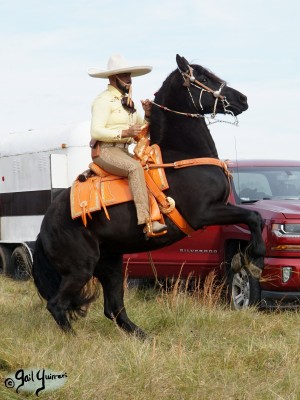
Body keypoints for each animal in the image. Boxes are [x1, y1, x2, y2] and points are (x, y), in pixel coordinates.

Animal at [31, 54, 264, 338]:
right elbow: (253, 216)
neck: (181, 157)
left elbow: (254, 217)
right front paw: (254, 259)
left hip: (111, 264)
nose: (242, 98)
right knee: (58, 304)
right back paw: (76, 338)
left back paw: (142, 336)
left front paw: (247, 259)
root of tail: (44, 226)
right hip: (81, 267)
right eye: (203, 77)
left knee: (114, 308)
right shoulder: (206, 212)